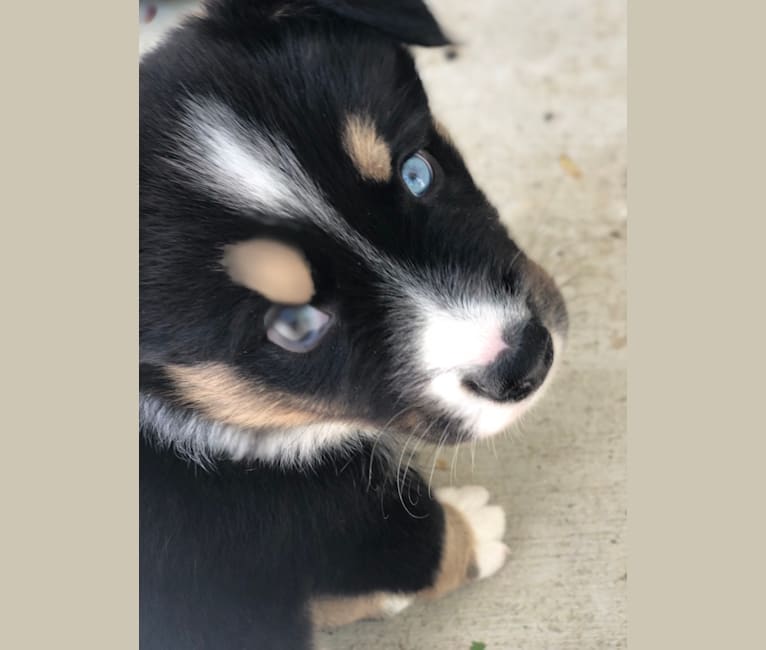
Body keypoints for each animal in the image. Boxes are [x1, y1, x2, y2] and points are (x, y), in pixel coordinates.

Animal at [140, 2, 568, 644]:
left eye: (417, 172)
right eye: (293, 327)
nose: (528, 360)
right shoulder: (304, 519)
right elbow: (417, 539)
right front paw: (475, 526)